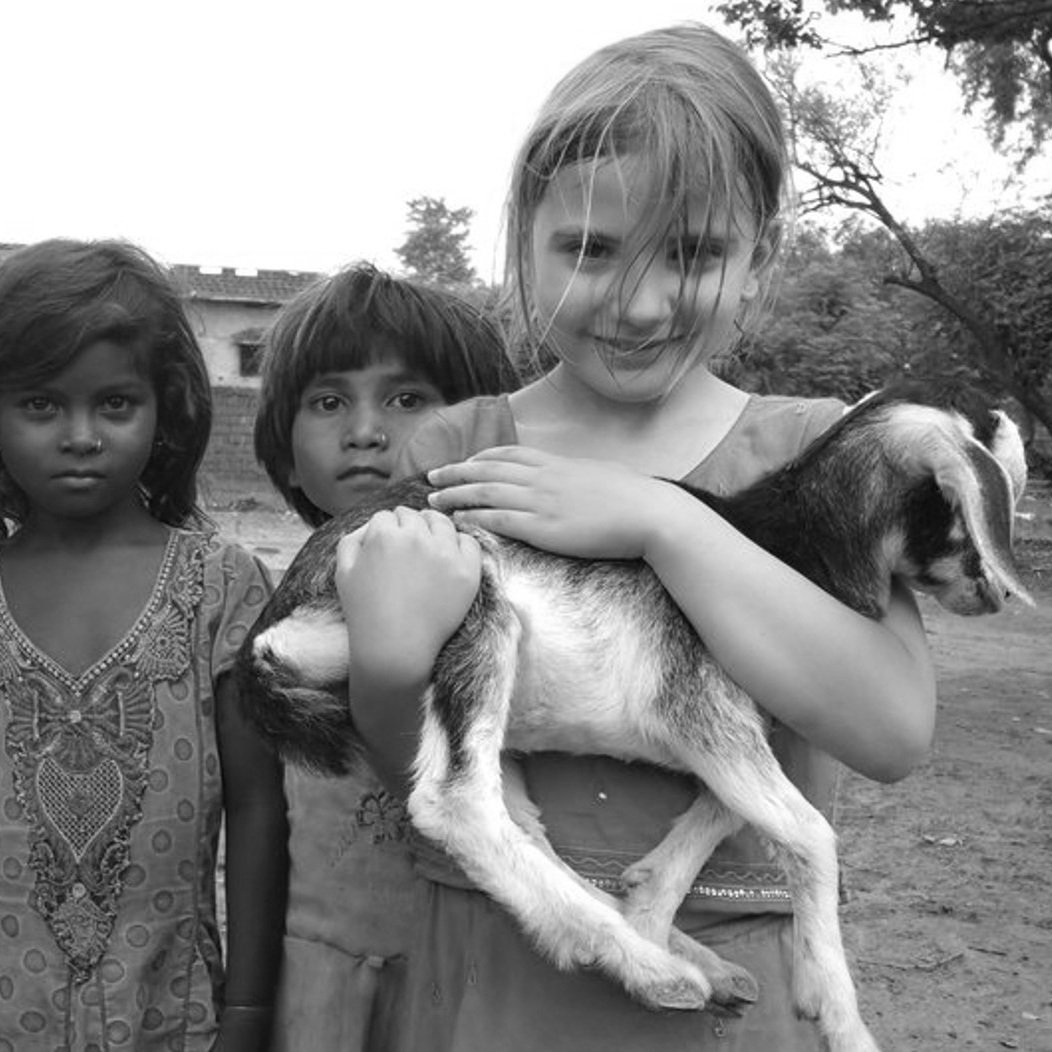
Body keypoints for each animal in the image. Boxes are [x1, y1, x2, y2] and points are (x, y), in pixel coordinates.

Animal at [238, 393, 1026, 1052]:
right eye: (973, 504)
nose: (994, 595)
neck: (785, 548)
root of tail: (274, 628)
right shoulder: (701, 707)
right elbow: (810, 835)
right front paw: (839, 1017)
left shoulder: (729, 730)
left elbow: (725, 813)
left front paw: (648, 901)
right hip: (472, 612)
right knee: (455, 802)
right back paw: (650, 968)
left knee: (519, 822)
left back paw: (667, 954)